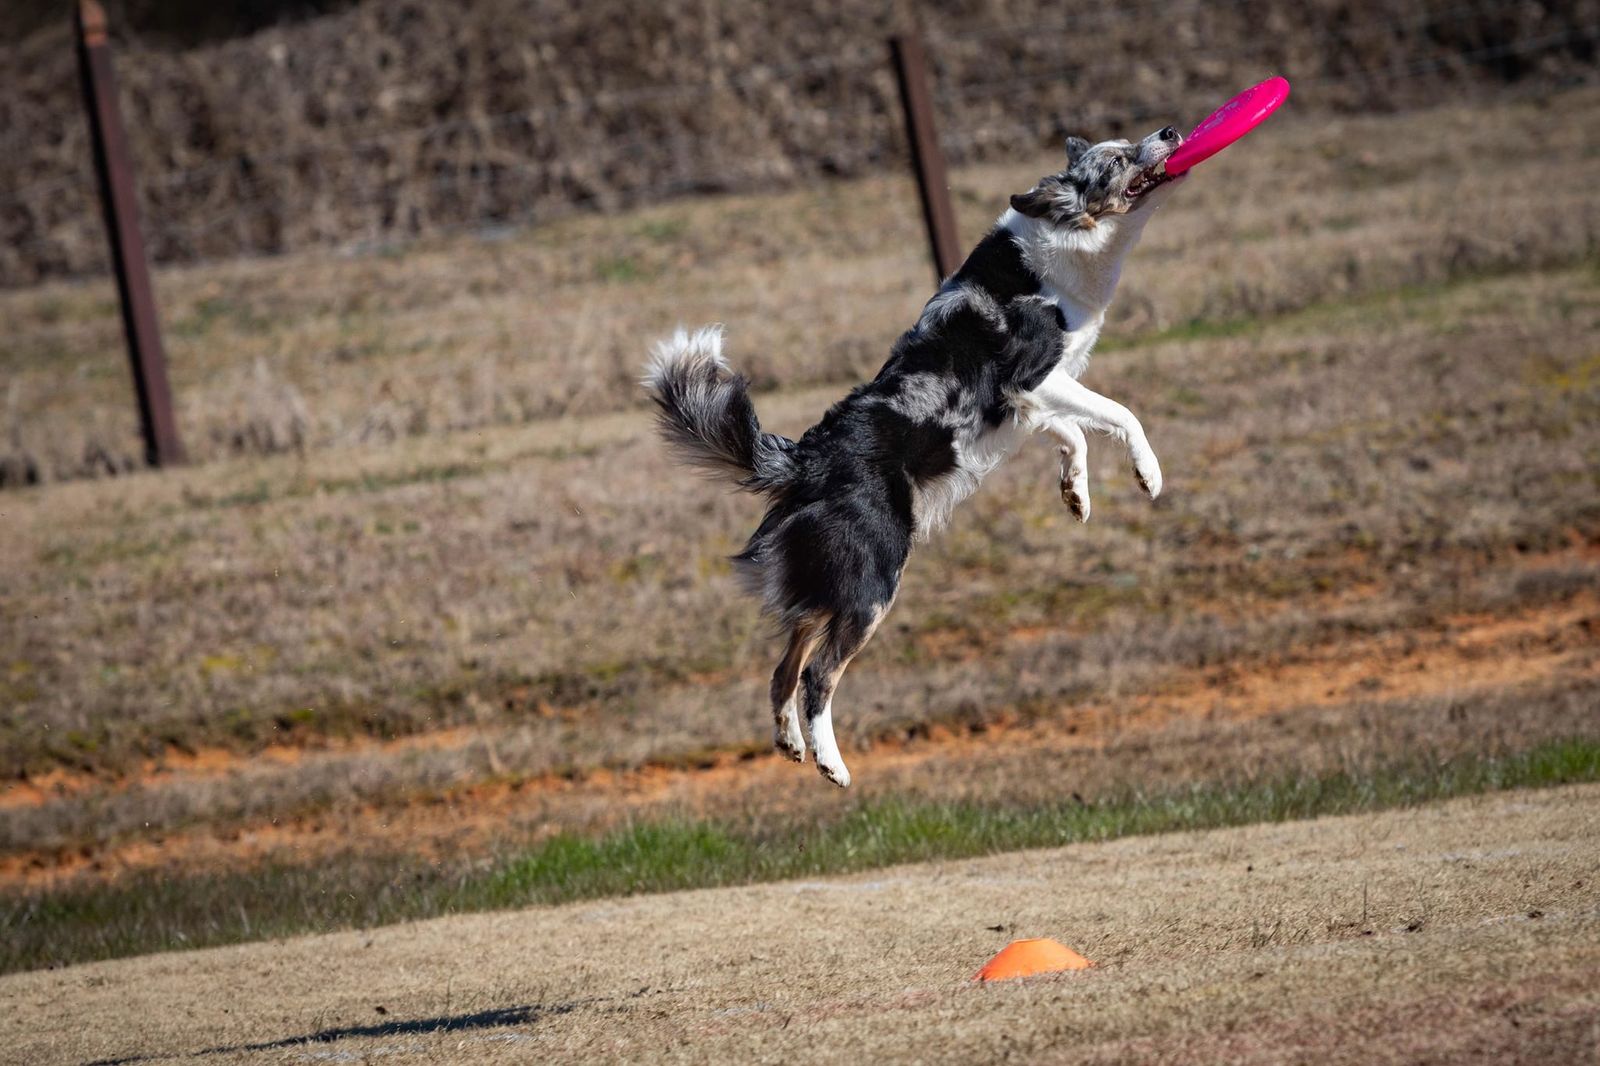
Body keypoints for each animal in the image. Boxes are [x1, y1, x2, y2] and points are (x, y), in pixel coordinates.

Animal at [644, 125, 1187, 787]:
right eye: (1115, 160)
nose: (1168, 131)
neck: (1054, 253)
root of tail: (807, 458)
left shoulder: (1022, 405)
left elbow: (1074, 434)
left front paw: (1075, 493)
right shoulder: (1035, 378)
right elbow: (1119, 414)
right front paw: (1148, 474)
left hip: (831, 583)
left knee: (783, 668)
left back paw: (793, 745)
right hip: (873, 581)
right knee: (818, 676)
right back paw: (832, 762)